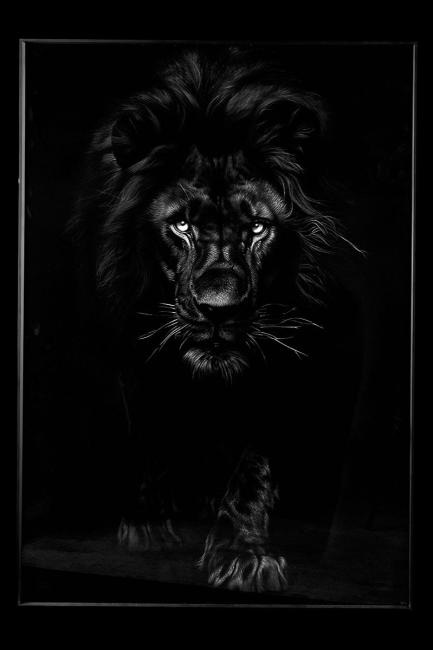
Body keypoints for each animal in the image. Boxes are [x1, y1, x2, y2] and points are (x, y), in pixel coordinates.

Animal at [69, 48, 362, 593]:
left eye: (258, 227)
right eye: (181, 225)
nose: (219, 310)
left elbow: (253, 469)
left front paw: (243, 554)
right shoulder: (130, 354)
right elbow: (148, 432)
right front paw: (147, 522)